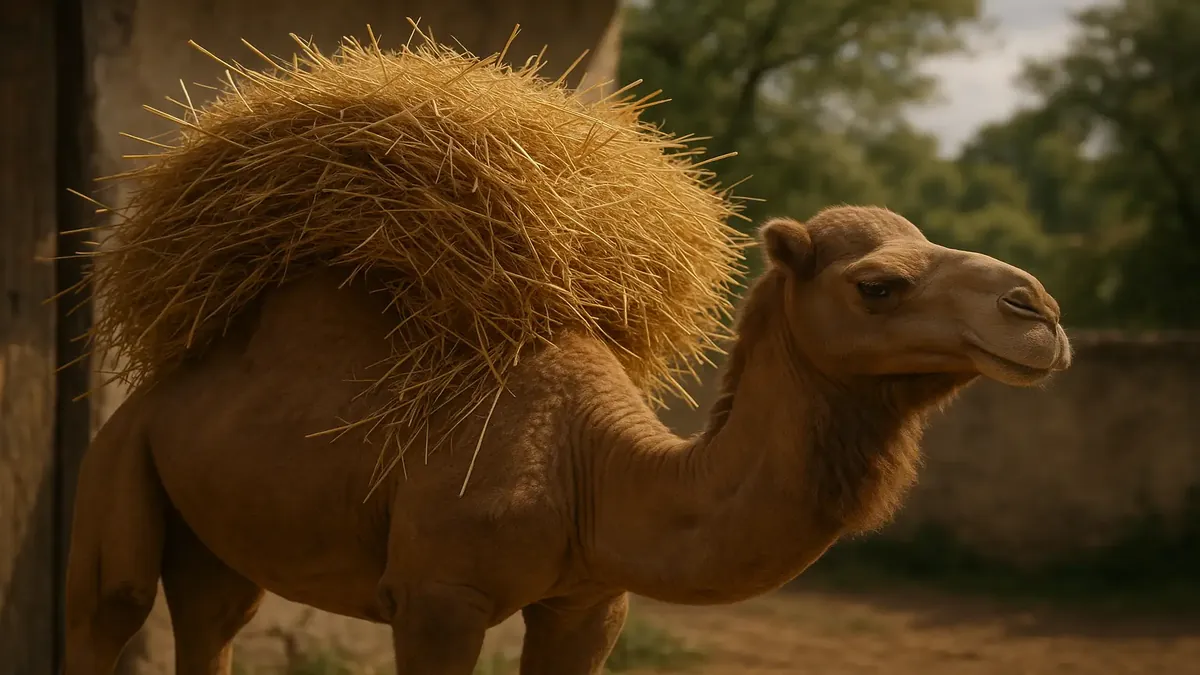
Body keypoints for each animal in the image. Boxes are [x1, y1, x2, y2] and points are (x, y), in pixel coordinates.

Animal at [63, 205, 1071, 675]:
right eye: (878, 286)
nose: (1040, 311)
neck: (598, 464)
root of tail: (160, 385)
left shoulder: (590, 597)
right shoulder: (438, 595)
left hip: (214, 520)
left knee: (211, 615)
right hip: (116, 454)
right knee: (109, 605)